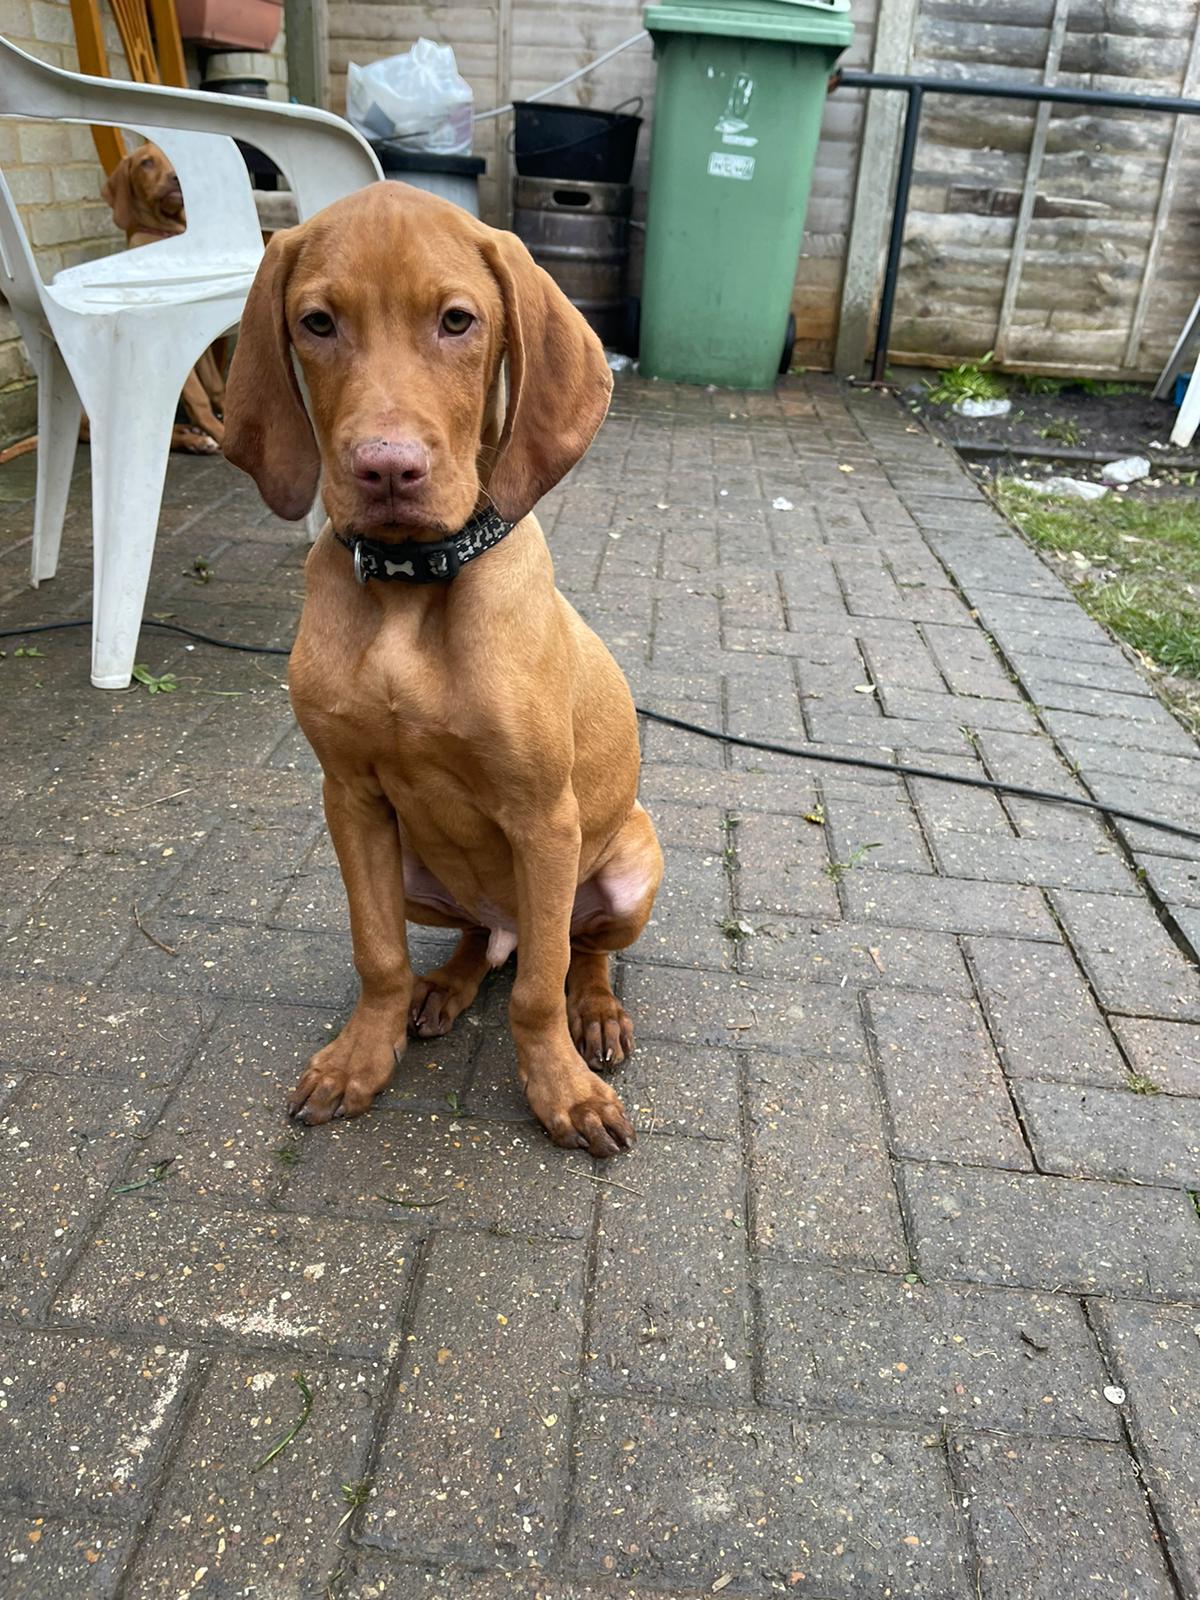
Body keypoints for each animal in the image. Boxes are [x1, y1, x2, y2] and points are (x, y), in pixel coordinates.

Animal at [101, 141, 230, 454]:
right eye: (146, 163)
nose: (176, 177)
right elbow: (199, 397)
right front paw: (222, 433)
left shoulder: (201, 339)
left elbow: (215, 386)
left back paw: (195, 437)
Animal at [220, 184, 662, 1164]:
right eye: (317, 323)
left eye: (457, 321)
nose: (387, 469)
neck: (411, 588)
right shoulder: (349, 798)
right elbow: (376, 953)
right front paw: (361, 1055)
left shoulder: (545, 818)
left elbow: (538, 990)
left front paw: (560, 1090)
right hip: (422, 876)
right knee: (475, 941)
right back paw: (445, 989)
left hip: (629, 866)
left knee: (574, 950)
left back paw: (596, 1015)